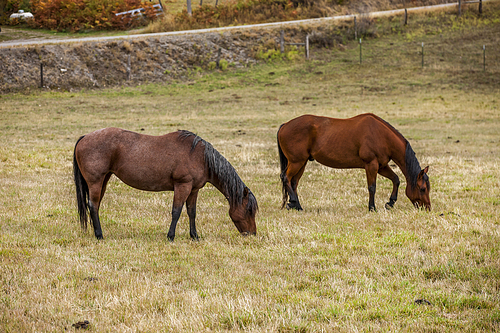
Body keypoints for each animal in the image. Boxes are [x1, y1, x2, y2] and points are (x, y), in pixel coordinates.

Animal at [73, 126, 258, 239]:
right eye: (249, 210)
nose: (252, 234)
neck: (200, 156)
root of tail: (85, 137)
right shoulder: (182, 186)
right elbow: (176, 211)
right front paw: (171, 236)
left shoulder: (193, 189)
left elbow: (191, 212)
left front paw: (194, 236)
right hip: (96, 181)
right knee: (93, 205)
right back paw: (99, 235)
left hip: (104, 180)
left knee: (95, 206)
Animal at [278, 113, 430, 210]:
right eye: (422, 189)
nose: (427, 208)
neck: (381, 135)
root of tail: (285, 125)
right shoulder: (371, 165)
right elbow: (372, 187)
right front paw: (372, 207)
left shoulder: (382, 166)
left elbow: (396, 180)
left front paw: (390, 202)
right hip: (296, 162)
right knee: (286, 177)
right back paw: (293, 202)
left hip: (302, 163)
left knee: (294, 182)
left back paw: (297, 206)